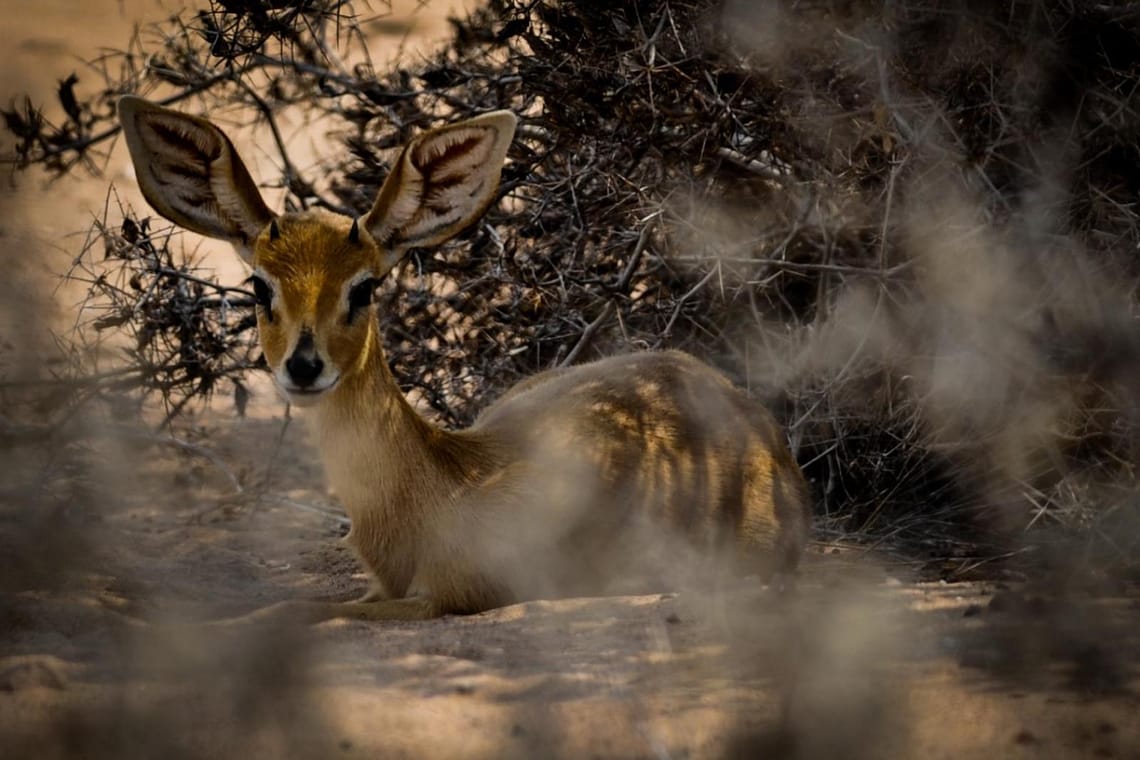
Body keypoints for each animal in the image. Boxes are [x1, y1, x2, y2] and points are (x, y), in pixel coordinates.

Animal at [117, 95, 811, 619]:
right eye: (260, 285)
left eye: (363, 286)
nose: (305, 366)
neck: (440, 492)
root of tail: (756, 422)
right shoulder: (381, 588)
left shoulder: (442, 599)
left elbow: (296, 609)